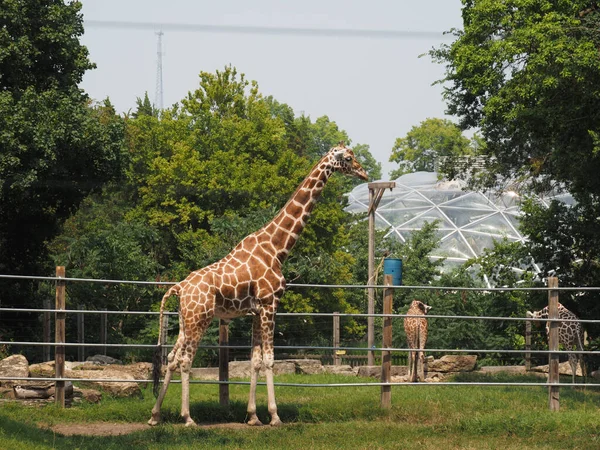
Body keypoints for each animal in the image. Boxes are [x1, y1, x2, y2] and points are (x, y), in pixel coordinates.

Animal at [148, 142, 368, 428]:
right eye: (349, 158)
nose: (364, 173)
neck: (277, 248)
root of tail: (179, 288)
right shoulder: (269, 304)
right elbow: (270, 360)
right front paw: (274, 416)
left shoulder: (254, 311)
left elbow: (254, 361)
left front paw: (253, 416)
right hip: (200, 319)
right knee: (185, 360)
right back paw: (187, 418)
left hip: (186, 320)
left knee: (172, 359)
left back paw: (155, 415)